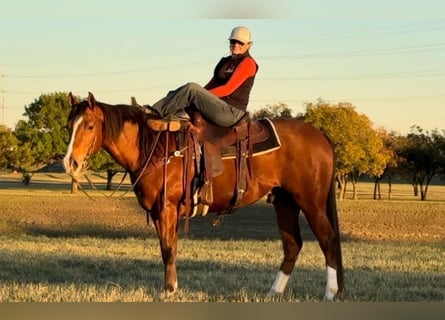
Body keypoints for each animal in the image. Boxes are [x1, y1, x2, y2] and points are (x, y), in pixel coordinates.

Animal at [62, 92, 344, 300]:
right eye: (68, 126)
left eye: (89, 125)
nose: (70, 163)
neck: (156, 146)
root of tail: (320, 134)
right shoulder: (161, 213)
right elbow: (169, 247)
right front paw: (171, 287)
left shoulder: (166, 209)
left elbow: (167, 249)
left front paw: (168, 291)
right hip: (284, 202)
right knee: (292, 244)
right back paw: (274, 292)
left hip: (311, 202)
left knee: (327, 238)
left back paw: (330, 292)